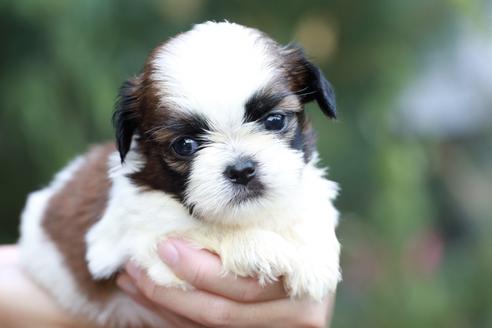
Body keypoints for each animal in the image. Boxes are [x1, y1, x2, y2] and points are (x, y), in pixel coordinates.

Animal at [19, 21, 342, 326]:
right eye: (185, 145)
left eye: (275, 121)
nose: (241, 170)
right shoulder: (131, 238)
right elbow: (198, 228)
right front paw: (259, 246)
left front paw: (314, 259)